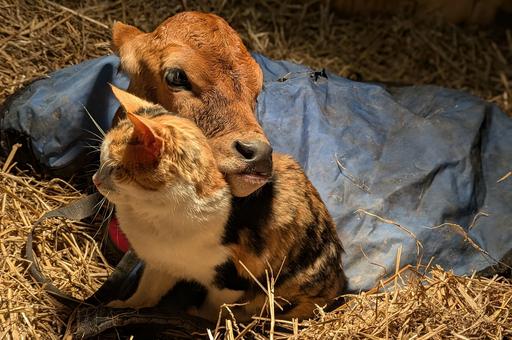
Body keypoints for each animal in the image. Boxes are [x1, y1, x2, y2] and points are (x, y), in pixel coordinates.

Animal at [94, 86, 346, 320]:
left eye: (114, 168)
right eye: (100, 159)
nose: (95, 180)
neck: (150, 214)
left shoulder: (233, 278)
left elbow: (215, 308)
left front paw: (199, 317)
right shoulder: (162, 261)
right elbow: (147, 290)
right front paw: (125, 306)